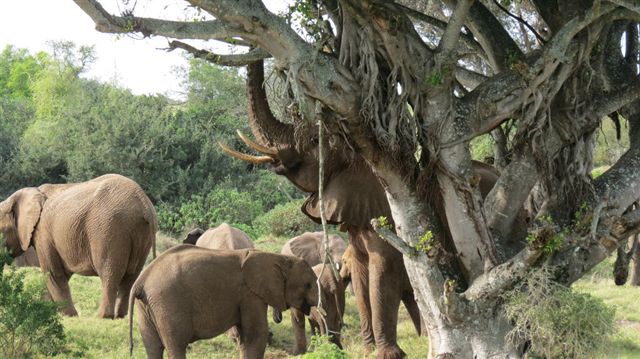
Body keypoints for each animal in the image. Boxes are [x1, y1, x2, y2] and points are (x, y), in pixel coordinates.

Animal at [0, 174, 157, 318]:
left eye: (1, 230)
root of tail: (144, 204)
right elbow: (61, 274)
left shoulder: (43, 234)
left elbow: (53, 273)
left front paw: (68, 317)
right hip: (139, 235)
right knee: (130, 277)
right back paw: (119, 316)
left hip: (110, 229)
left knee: (109, 274)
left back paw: (102, 317)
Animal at [129, 246, 318, 359]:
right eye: (308, 285)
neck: (278, 257)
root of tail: (141, 281)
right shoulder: (250, 295)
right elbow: (256, 334)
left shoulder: (247, 296)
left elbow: (245, 337)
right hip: (168, 302)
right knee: (176, 345)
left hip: (146, 306)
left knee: (153, 347)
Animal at [218, 60, 508, 358]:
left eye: (314, 141)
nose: (279, 65)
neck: (362, 157)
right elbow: (360, 275)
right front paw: (369, 350)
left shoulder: (386, 214)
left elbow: (382, 272)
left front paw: (388, 355)